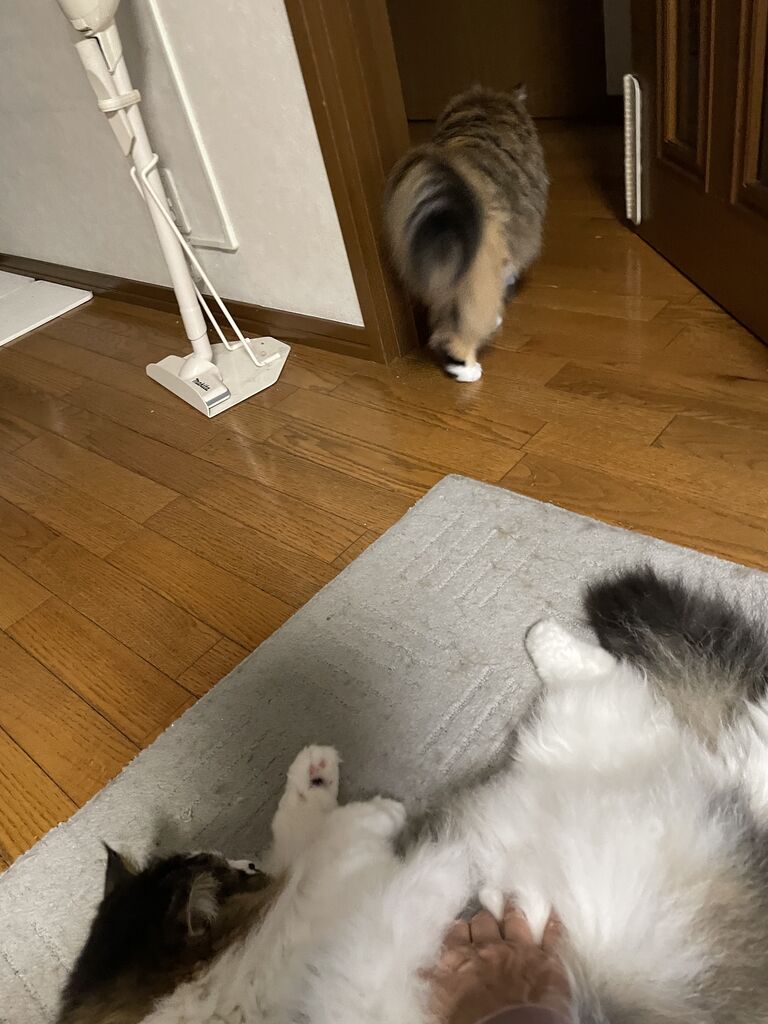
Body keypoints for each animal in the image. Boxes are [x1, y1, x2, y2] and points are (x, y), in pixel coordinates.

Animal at [58, 567, 768, 1023]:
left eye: (243, 867)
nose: (248, 865)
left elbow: (307, 836)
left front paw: (316, 778)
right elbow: (325, 852)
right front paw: (368, 809)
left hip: (597, 729)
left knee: (623, 678)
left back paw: (542, 636)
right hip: (585, 732)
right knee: (622, 684)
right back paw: (546, 640)